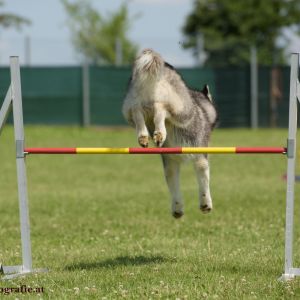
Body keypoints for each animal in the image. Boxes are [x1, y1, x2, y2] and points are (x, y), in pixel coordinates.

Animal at [122, 49, 218, 218]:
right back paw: (160, 132)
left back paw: (144, 136)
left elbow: (173, 184)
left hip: (131, 106)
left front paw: (177, 208)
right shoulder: (200, 154)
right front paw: (206, 204)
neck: (202, 108)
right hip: (181, 109)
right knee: (161, 109)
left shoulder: (170, 161)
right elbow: (204, 179)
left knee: (138, 112)